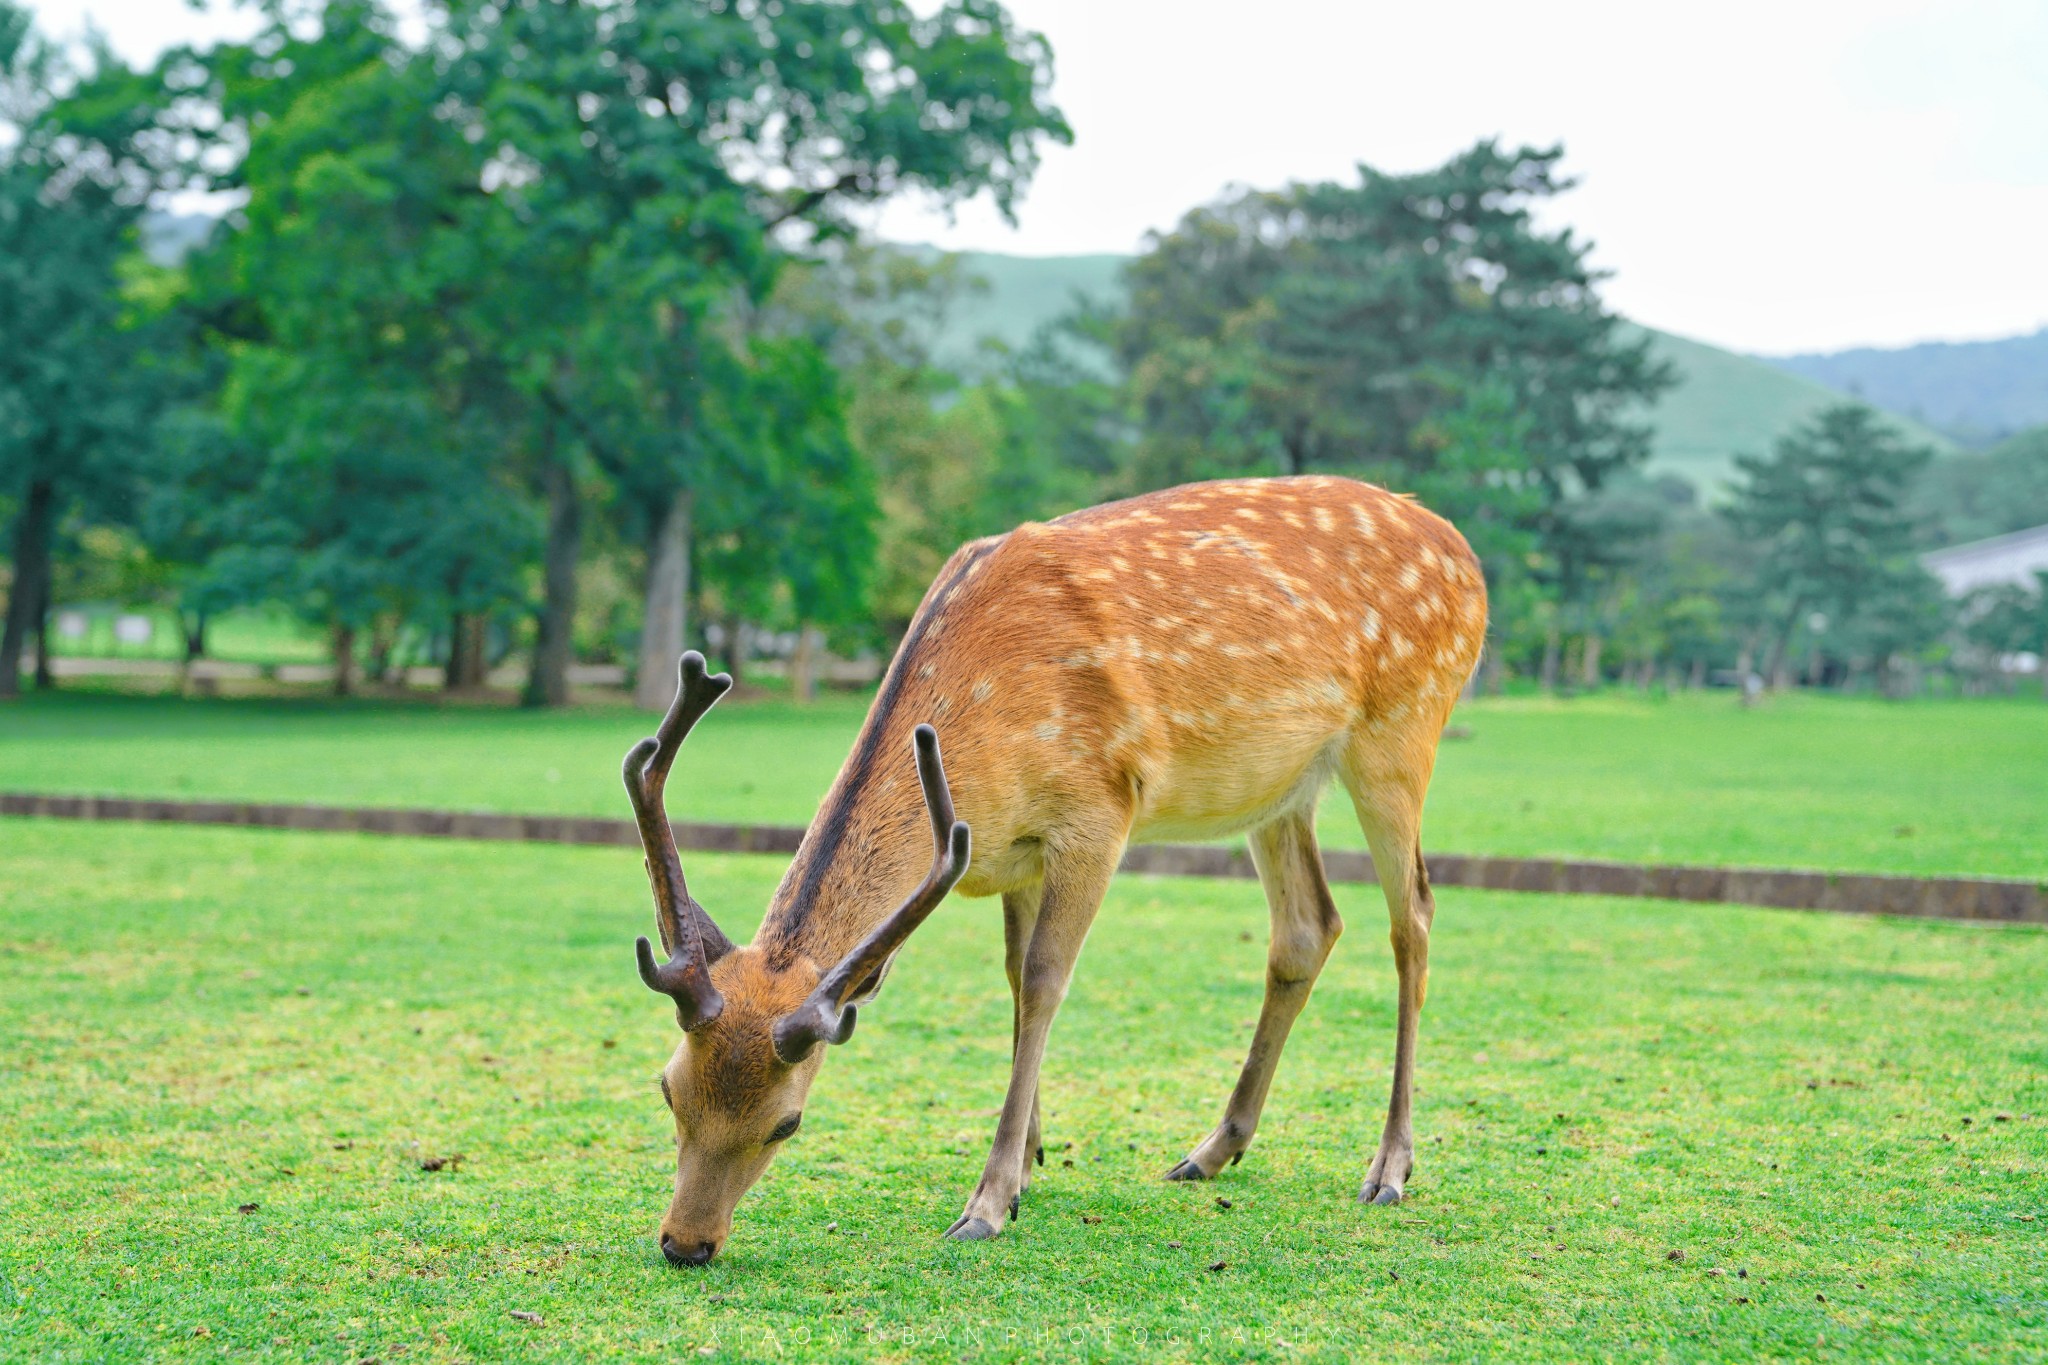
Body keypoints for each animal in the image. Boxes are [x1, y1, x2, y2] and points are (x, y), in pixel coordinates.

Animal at [622, 474, 1490, 1268]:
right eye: (669, 1088)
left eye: (787, 1121)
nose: (686, 1241)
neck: (982, 739)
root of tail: (1467, 554)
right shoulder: (1012, 852)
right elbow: (1013, 976)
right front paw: (1031, 1162)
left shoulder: (1099, 809)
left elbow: (1043, 982)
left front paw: (989, 1198)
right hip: (1280, 788)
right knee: (1308, 925)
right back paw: (1212, 1148)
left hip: (1401, 732)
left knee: (1413, 916)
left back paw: (1390, 1165)